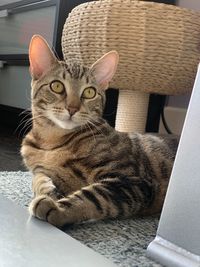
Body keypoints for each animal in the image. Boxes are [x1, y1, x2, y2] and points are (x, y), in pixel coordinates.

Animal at [21, 34, 178, 229]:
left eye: (89, 92)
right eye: (56, 86)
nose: (72, 108)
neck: (51, 142)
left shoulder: (132, 180)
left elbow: (94, 196)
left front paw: (57, 208)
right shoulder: (40, 168)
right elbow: (38, 177)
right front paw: (47, 189)